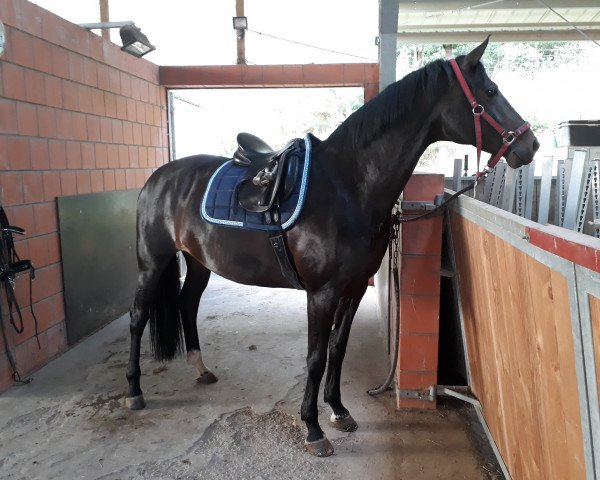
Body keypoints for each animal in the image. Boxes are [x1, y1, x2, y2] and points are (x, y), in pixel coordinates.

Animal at [125, 39, 540, 456]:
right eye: (490, 92)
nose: (530, 143)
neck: (348, 187)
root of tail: (158, 177)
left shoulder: (353, 289)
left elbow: (337, 349)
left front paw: (339, 411)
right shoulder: (321, 294)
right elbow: (315, 356)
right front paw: (313, 428)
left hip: (198, 262)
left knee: (187, 304)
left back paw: (201, 369)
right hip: (151, 263)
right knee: (138, 317)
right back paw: (133, 391)